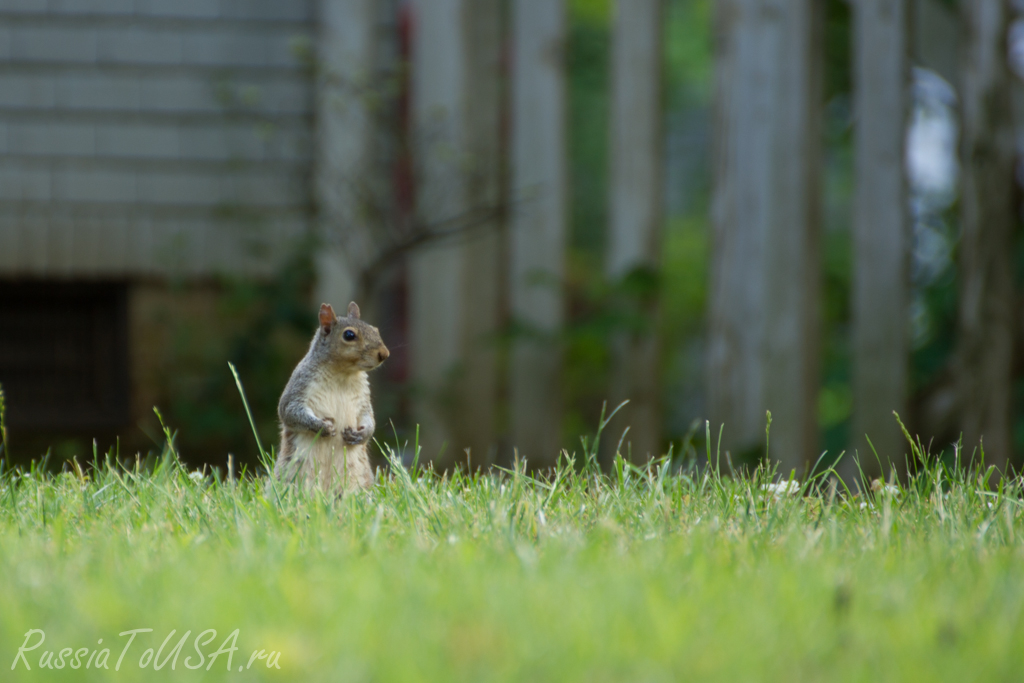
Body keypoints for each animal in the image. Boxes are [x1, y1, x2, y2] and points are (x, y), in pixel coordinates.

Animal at [274, 301, 389, 493]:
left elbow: (369, 417)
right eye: (349, 335)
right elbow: (290, 412)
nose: (384, 354)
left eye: (376, 329)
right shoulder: (298, 387)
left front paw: (362, 434)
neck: (342, 374)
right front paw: (321, 427)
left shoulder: (363, 399)